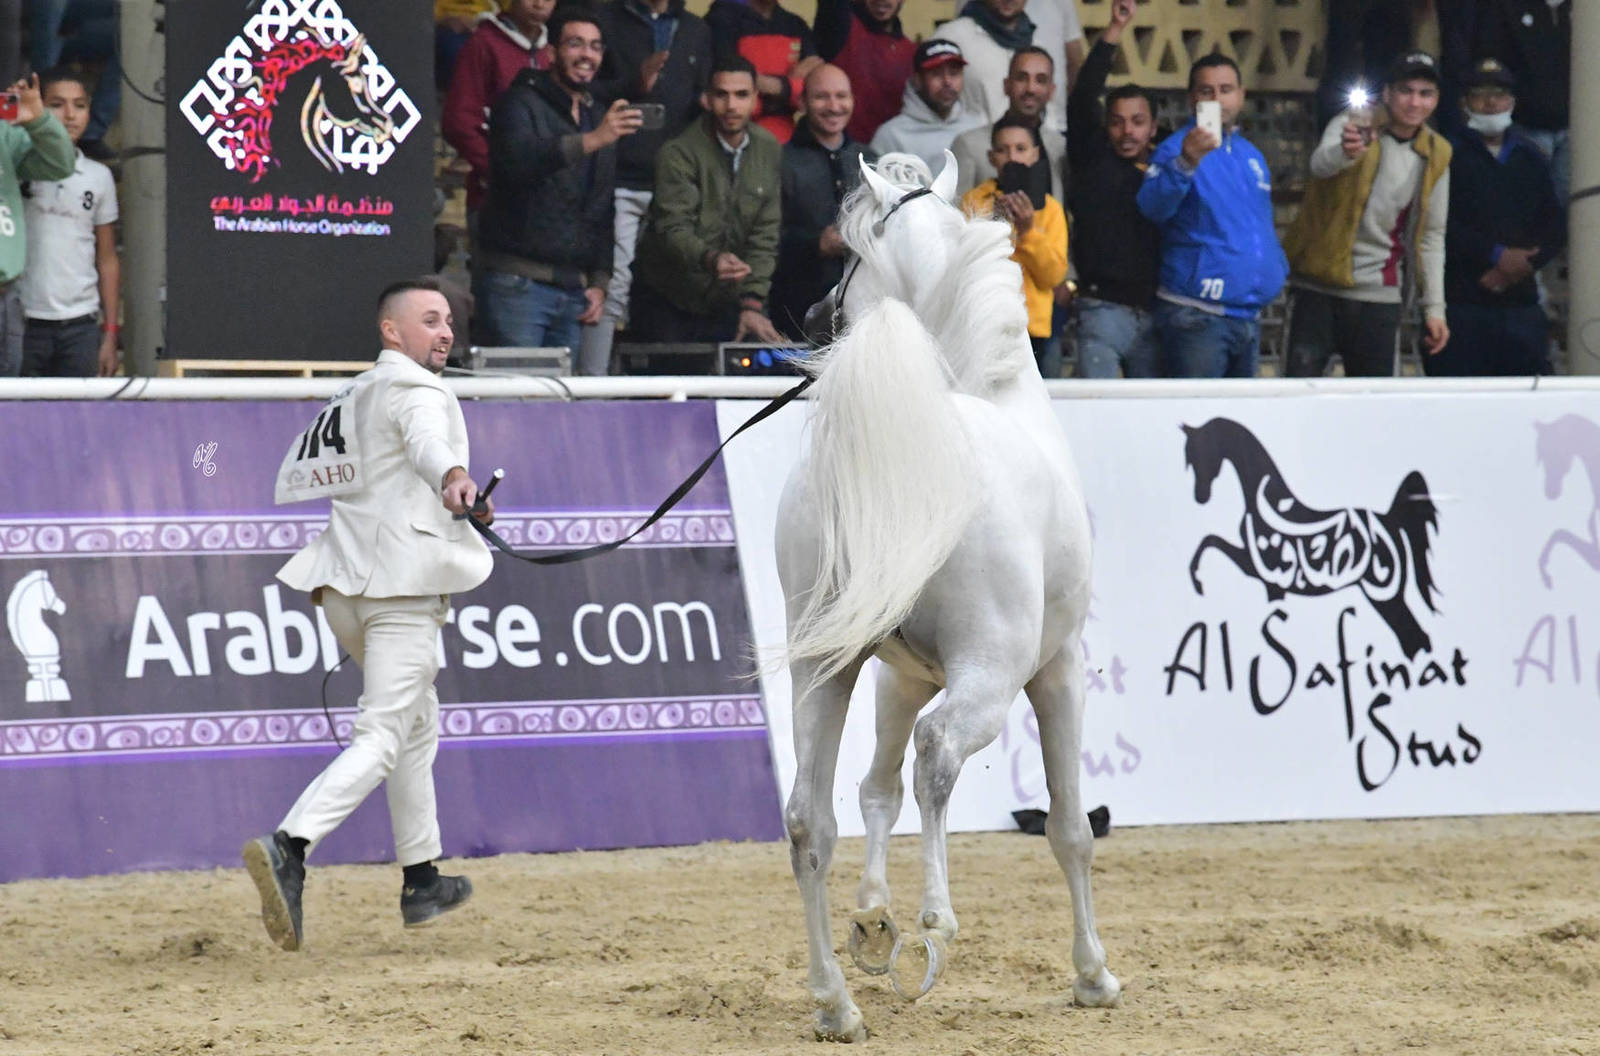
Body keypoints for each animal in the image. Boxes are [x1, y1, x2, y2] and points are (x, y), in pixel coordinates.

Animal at [775, 151, 1119, 1043]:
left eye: (848, 254)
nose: (816, 311)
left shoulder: (896, 677)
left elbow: (875, 790)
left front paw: (872, 921)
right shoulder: (1058, 671)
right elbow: (1070, 828)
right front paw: (1093, 974)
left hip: (824, 670)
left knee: (810, 816)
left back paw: (837, 1000)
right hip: (990, 675)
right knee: (938, 756)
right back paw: (935, 923)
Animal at [1182, 417, 1439, 659]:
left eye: (1199, 453)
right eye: (1189, 459)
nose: (1200, 497)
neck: (1265, 499)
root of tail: (1390, 518)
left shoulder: (1260, 570)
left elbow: (1211, 542)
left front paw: (1198, 582)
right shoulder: (1267, 579)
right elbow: (1211, 541)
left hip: (1384, 595)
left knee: (1416, 640)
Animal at [1534, 415, 1600, 588]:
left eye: (1554, 452)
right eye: (1541, 456)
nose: (1550, 493)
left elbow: (1560, 534)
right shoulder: (1595, 555)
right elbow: (1560, 534)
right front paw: (1545, 573)